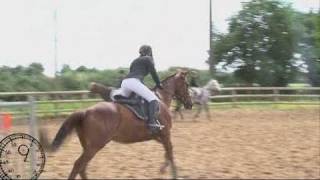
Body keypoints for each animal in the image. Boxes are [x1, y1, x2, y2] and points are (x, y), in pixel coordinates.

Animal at [38, 70, 191, 179]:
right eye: (187, 85)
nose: (190, 104)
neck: (161, 100)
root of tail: (86, 111)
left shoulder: (159, 136)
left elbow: (167, 153)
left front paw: (163, 169)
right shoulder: (165, 134)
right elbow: (170, 152)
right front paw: (172, 173)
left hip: (88, 147)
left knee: (82, 168)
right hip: (94, 146)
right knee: (78, 165)